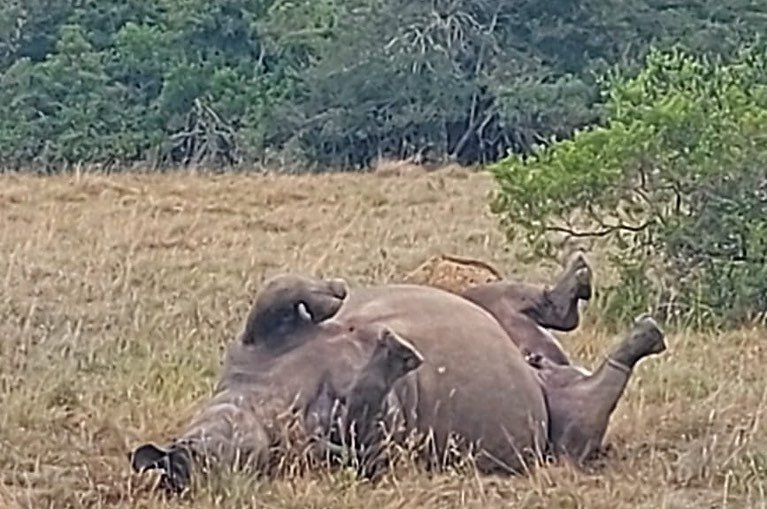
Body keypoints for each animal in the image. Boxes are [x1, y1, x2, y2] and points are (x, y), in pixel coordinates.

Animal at [127, 268, 664, 494]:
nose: (189, 449)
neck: (258, 405)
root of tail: (547, 363)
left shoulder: (252, 346)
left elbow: (275, 291)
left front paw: (333, 296)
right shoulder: (362, 443)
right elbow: (365, 418)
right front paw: (395, 353)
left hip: (479, 304)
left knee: (493, 297)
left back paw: (577, 288)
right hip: (556, 435)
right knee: (575, 425)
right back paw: (646, 338)